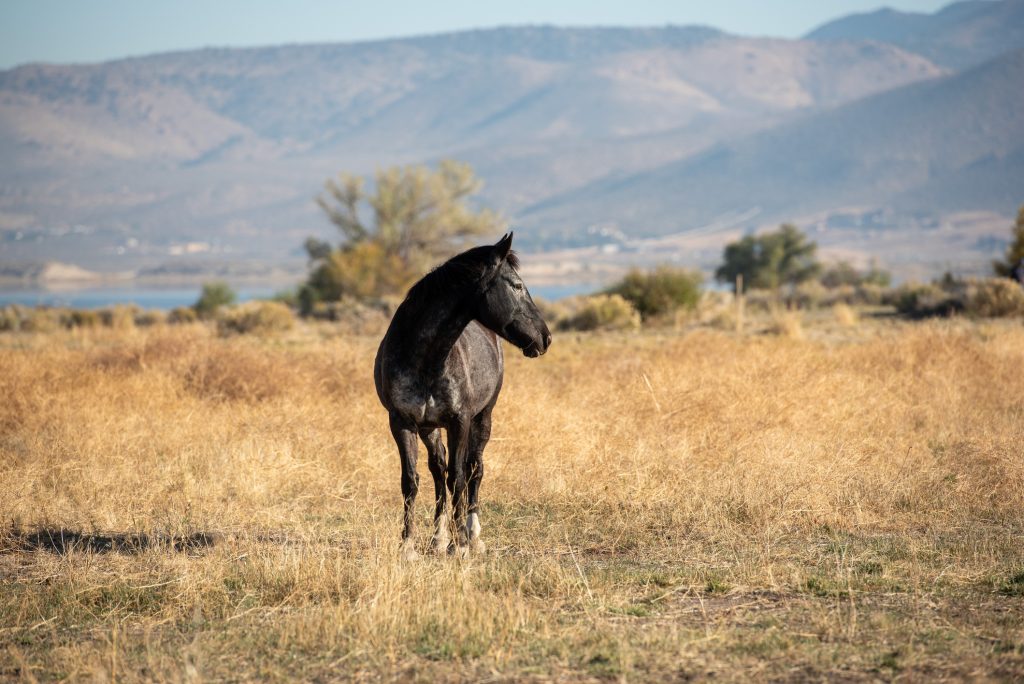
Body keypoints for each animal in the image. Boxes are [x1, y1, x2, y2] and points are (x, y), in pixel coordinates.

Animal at [374, 232, 552, 557]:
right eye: (517, 285)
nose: (545, 338)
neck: (426, 360)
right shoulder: (401, 422)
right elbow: (411, 480)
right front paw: (408, 544)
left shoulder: (461, 421)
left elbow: (458, 478)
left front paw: (460, 545)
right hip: (429, 428)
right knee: (438, 468)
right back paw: (438, 537)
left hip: (483, 418)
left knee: (474, 469)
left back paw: (473, 535)